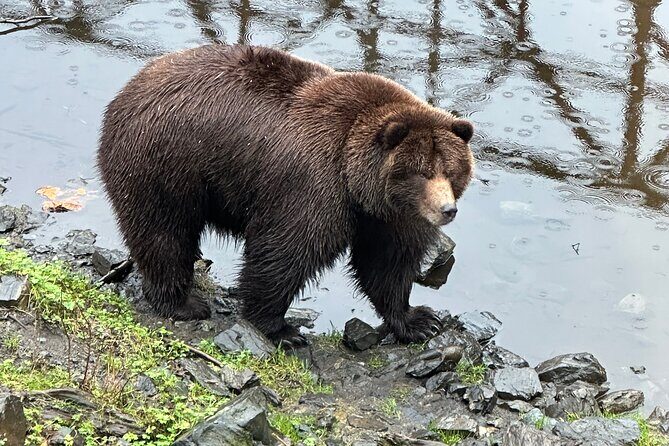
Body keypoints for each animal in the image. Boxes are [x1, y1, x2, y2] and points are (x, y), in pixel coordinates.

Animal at [97, 44, 475, 346]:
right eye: (421, 171)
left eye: (450, 169)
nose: (447, 210)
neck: (355, 181)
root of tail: (129, 87)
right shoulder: (313, 186)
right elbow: (284, 251)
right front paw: (281, 329)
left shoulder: (386, 215)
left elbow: (387, 262)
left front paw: (419, 321)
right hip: (166, 164)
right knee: (164, 231)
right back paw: (181, 303)